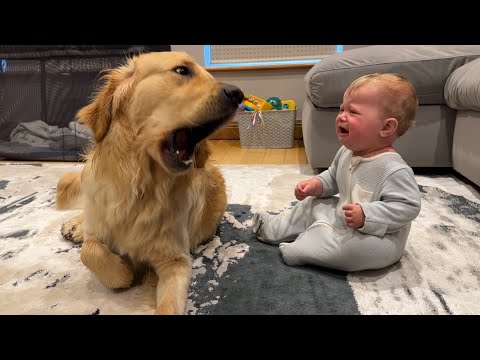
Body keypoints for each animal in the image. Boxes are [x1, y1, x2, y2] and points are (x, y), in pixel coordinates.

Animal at [56, 51, 244, 316]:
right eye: (182, 70)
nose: (238, 95)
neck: (140, 188)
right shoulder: (101, 230)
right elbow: (89, 251)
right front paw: (122, 273)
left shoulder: (177, 261)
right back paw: (76, 225)